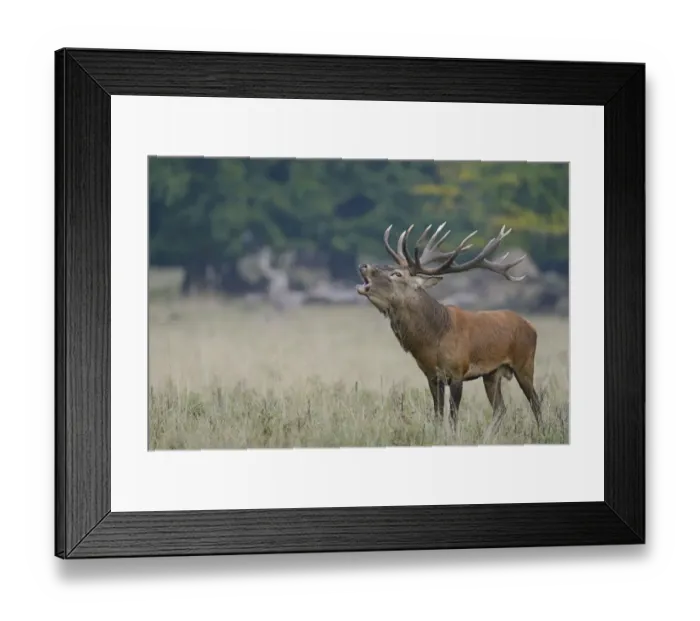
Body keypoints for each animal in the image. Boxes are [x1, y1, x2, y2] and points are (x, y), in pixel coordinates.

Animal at [356, 222, 541, 441]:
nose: (364, 266)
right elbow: (437, 414)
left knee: (535, 402)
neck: (433, 341)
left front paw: (452, 438)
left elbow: (453, 416)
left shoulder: (457, 372)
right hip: (492, 373)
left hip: (525, 363)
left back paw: (542, 432)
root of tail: (531, 326)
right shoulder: (432, 376)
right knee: (500, 409)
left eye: (397, 274)